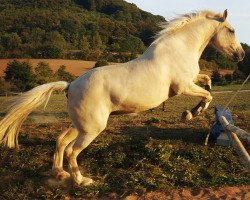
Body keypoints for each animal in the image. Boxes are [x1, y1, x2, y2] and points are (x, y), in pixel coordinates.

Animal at [0, 9, 245, 184]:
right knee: (72, 151)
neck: (179, 48)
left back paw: (59, 174)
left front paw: (193, 111)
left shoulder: (192, 80)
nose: (241, 55)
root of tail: (71, 85)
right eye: (232, 30)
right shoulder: (183, 86)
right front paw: (190, 113)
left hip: (80, 125)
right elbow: (207, 94)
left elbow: (208, 83)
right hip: (92, 128)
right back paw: (81, 180)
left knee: (60, 141)